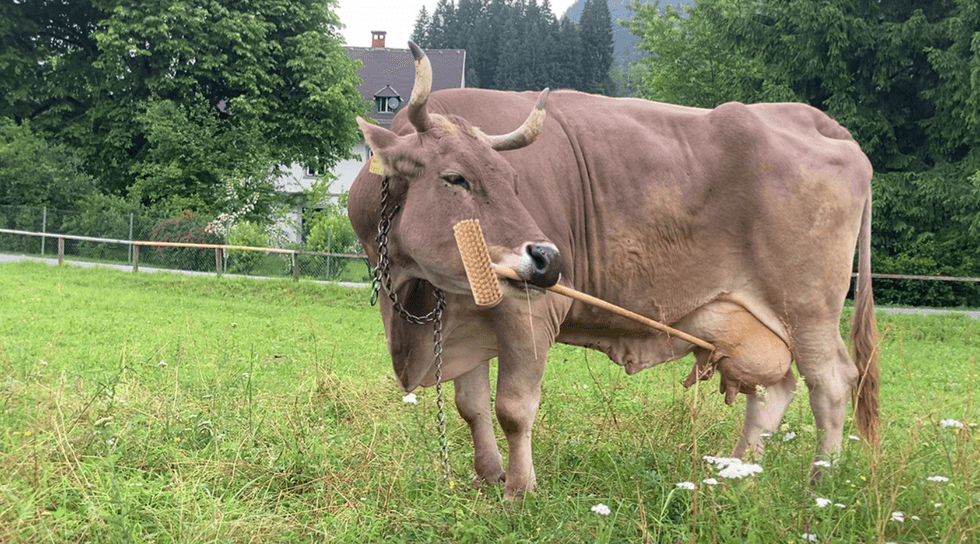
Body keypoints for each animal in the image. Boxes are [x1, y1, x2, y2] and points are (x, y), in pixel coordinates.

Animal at [348, 43, 879, 500]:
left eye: (515, 181)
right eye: (454, 177)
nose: (550, 259)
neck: (414, 294)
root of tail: (814, 119)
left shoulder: (530, 315)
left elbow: (513, 410)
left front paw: (519, 491)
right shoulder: (465, 318)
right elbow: (471, 407)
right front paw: (488, 478)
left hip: (807, 309)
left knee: (832, 385)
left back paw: (821, 484)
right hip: (753, 323)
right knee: (775, 390)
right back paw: (737, 473)